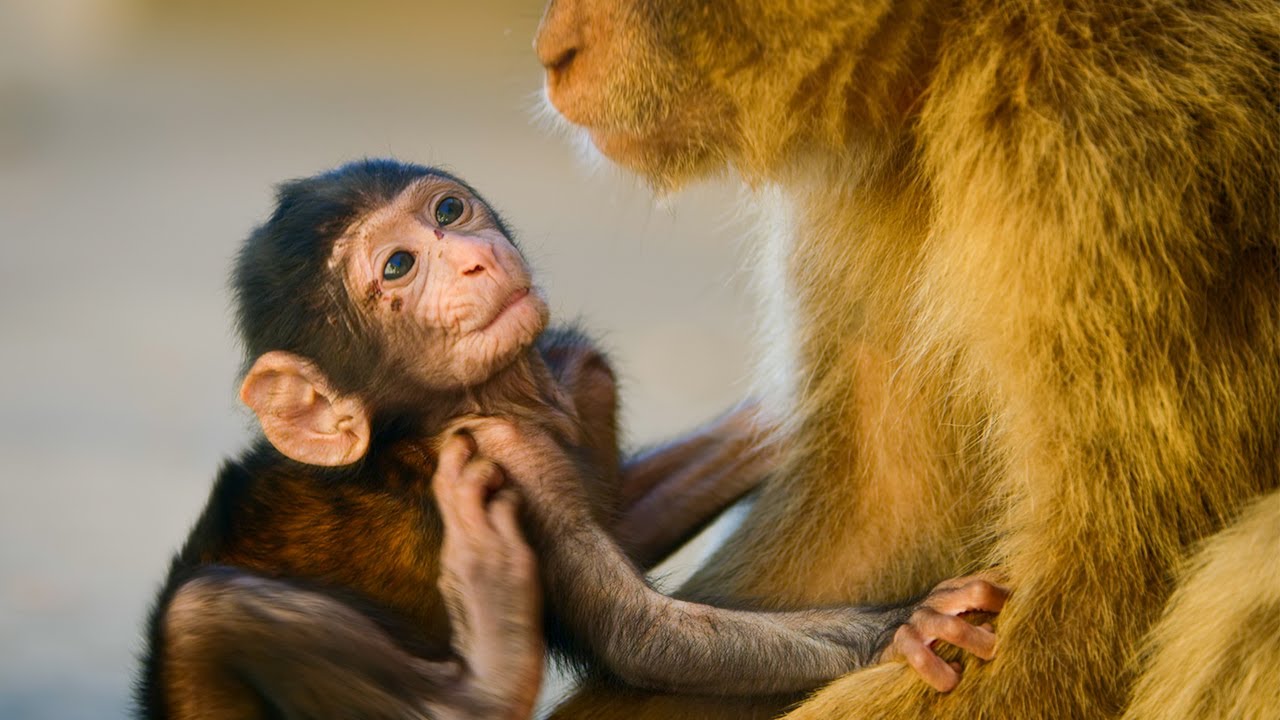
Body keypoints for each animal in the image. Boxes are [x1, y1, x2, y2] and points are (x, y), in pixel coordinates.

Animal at [135, 159, 1011, 719]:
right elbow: (643, 637)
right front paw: (909, 628)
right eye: (398, 266)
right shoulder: (498, 449)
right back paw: (490, 675)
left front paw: (767, 426)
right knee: (202, 616)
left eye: (447, 212)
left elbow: (627, 524)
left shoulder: (582, 376)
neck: (513, 391)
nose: (471, 257)